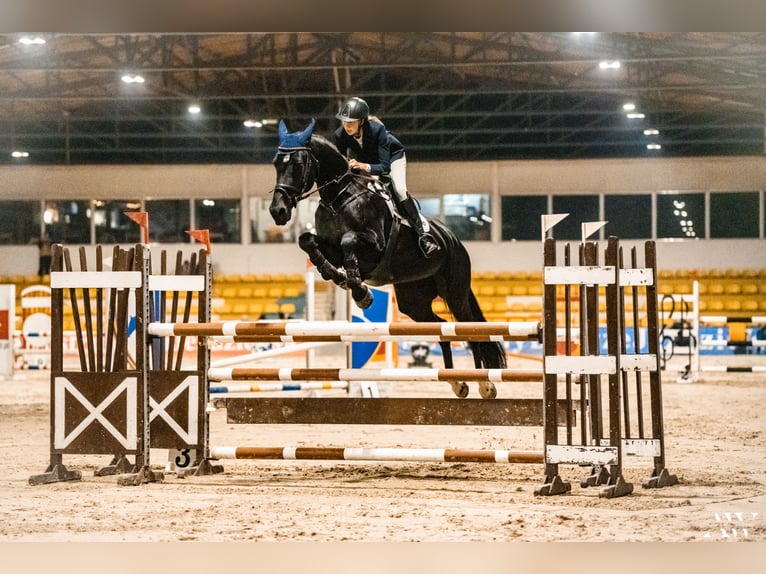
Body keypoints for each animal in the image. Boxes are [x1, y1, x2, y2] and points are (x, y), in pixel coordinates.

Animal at [268, 120, 508, 400]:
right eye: (276, 163)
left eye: (297, 163)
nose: (278, 211)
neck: (340, 197)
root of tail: (454, 240)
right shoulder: (330, 246)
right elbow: (307, 241)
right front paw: (337, 276)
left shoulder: (374, 247)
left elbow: (349, 240)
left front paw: (361, 292)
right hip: (413, 301)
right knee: (442, 328)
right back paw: (457, 383)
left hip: (455, 293)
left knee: (469, 329)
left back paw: (485, 384)